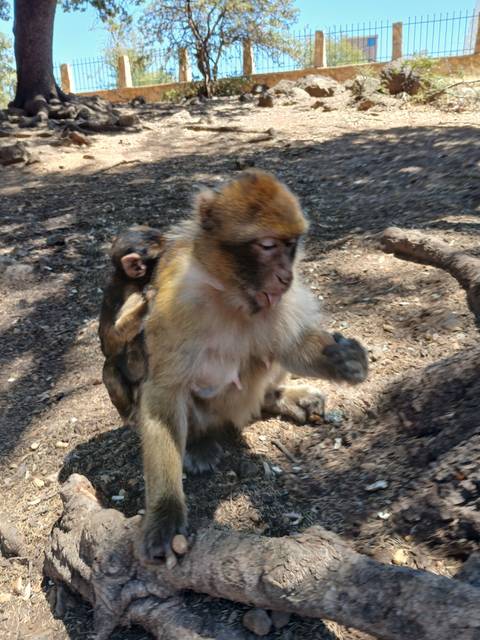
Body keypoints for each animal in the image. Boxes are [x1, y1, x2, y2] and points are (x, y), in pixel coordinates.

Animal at [138, 170, 368, 562]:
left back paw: (277, 397)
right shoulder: (175, 306)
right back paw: (199, 442)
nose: (286, 276)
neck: (232, 297)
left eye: (291, 245)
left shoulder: (280, 303)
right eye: (267, 246)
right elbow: (163, 392)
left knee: (267, 353)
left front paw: (343, 360)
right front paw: (165, 512)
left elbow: (290, 345)